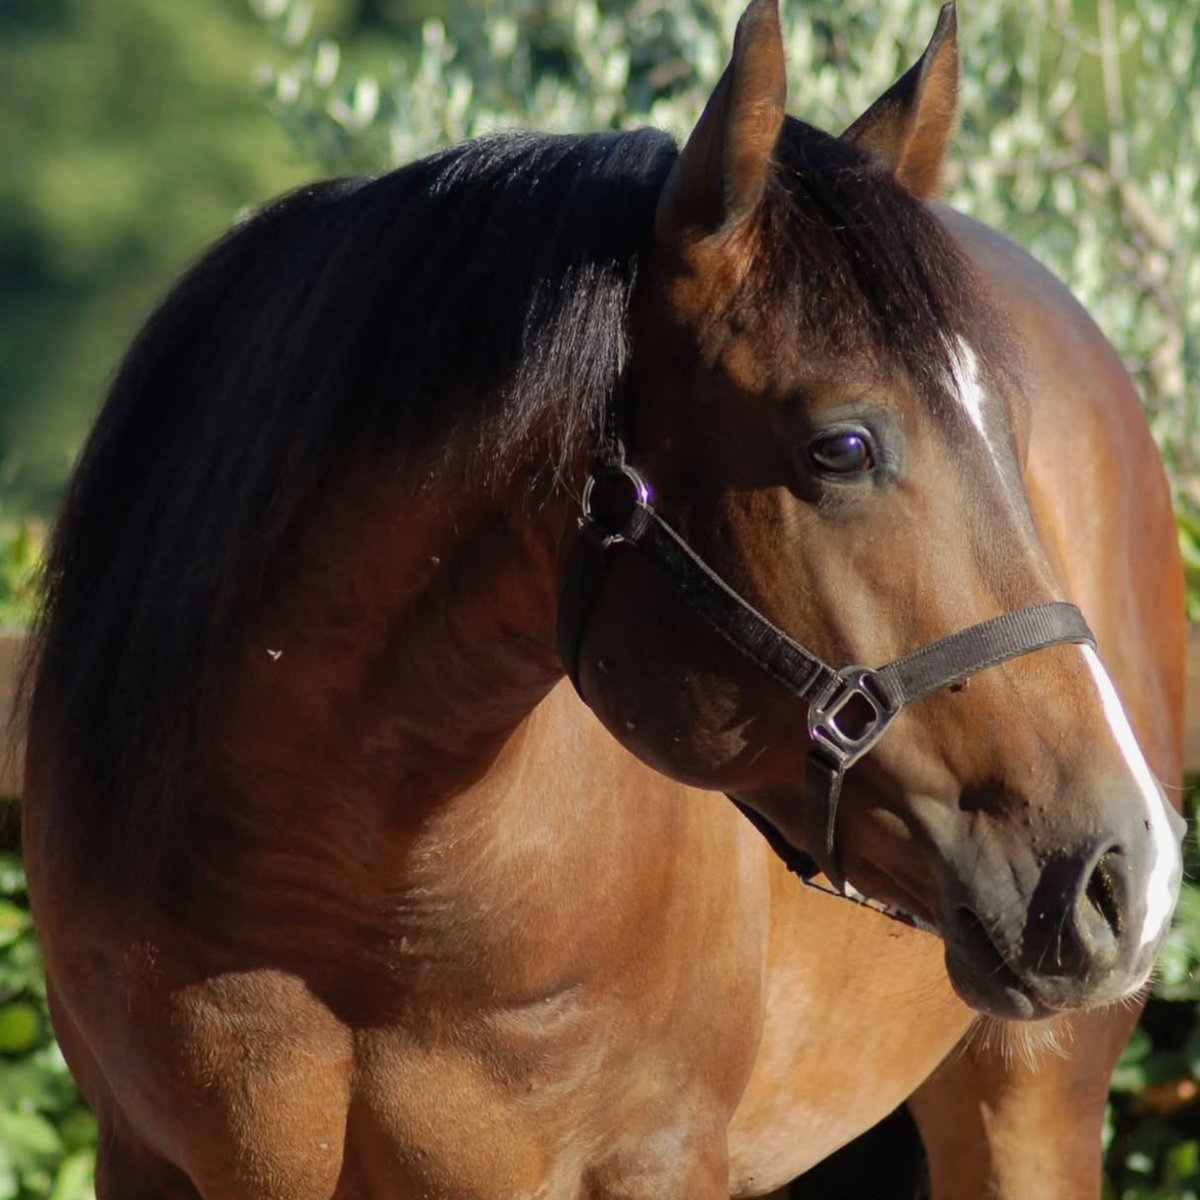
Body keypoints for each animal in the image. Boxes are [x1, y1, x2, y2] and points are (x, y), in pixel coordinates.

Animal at [21, 2, 1186, 1197]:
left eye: (1009, 431)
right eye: (843, 447)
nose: (1122, 870)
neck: (353, 903)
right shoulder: (150, 1158)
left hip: (1030, 1100)